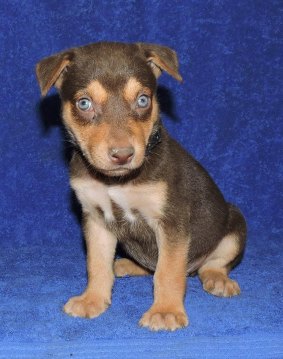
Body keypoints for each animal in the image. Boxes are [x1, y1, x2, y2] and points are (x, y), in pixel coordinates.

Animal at [36, 42, 247, 332]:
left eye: (143, 100)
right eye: (84, 103)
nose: (123, 155)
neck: (116, 181)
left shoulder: (171, 223)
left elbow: (168, 272)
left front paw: (166, 311)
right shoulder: (95, 220)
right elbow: (97, 265)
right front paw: (92, 300)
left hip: (234, 223)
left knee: (211, 265)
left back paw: (218, 280)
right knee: (151, 265)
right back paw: (126, 265)